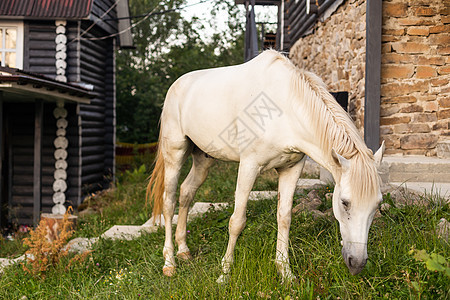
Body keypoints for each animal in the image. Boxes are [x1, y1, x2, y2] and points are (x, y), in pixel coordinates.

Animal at [147, 50, 384, 282]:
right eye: (345, 203)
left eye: (377, 205)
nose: (357, 263)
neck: (284, 109)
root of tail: (176, 85)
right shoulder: (249, 166)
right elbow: (237, 221)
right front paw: (224, 274)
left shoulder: (291, 170)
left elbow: (285, 218)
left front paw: (285, 272)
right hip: (175, 154)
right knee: (169, 202)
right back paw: (169, 263)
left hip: (203, 159)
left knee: (187, 192)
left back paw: (184, 250)